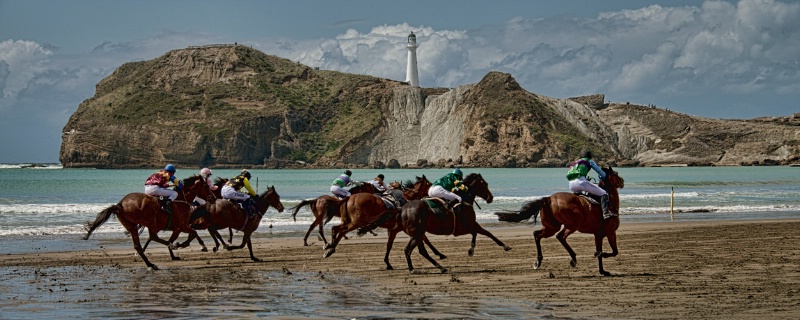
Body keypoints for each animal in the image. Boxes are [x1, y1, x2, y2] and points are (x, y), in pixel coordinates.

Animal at [83, 175, 214, 270]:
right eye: (207, 186)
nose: (212, 197)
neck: (181, 200)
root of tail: (120, 204)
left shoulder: (177, 228)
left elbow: (188, 234)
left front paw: (176, 251)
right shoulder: (181, 226)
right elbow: (193, 233)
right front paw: (198, 246)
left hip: (132, 226)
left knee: (139, 245)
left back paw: (150, 264)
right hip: (150, 221)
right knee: (153, 236)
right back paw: (165, 250)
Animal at [370, 174, 512, 274]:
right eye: (485, 184)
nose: (491, 198)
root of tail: (402, 209)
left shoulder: (466, 227)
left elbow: (475, 233)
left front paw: (471, 250)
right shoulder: (468, 225)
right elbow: (486, 233)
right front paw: (505, 246)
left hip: (417, 232)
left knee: (419, 250)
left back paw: (438, 267)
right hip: (417, 232)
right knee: (409, 249)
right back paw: (416, 268)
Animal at [494, 166, 624, 276]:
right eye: (616, 173)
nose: (622, 181)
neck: (610, 204)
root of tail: (549, 199)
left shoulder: (598, 235)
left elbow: (601, 253)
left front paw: (602, 271)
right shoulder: (610, 233)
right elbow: (613, 251)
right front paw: (603, 257)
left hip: (551, 227)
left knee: (537, 234)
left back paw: (538, 261)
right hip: (572, 225)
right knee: (560, 236)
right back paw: (573, 259)